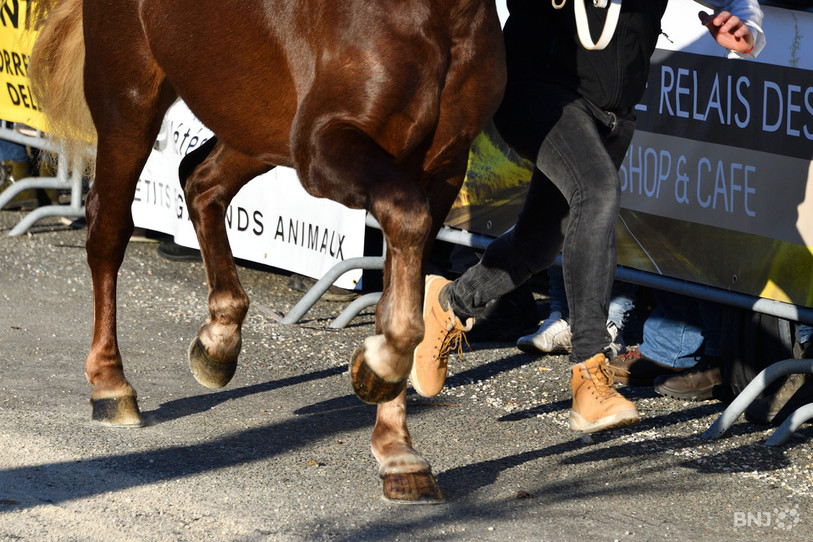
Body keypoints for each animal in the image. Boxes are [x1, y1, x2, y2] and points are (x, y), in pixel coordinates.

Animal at [28, 0, 505, 503]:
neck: (435, 17)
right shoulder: (322, 145)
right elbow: (406, 223)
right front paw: (379, 369)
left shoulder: (441, 167)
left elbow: (399, 285)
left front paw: (398, 451)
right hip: (130, 97)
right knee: (109, 226)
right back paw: (110, 383)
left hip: (252, 117)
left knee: (200, 182)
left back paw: (218, 340)